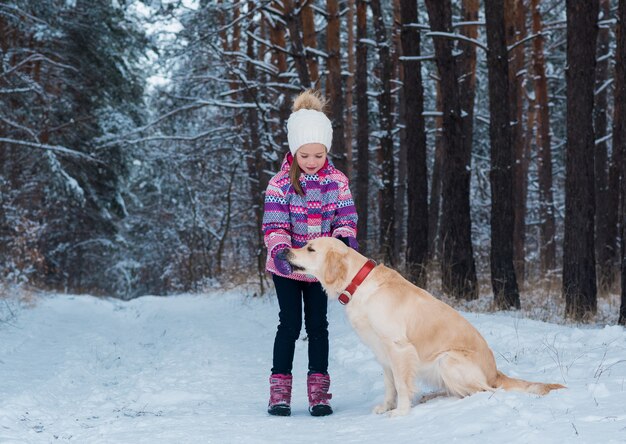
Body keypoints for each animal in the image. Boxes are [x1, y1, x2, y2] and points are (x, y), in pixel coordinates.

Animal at [280, 238, 564, 414]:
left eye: (310, 248)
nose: (285, 251)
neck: (359, 284)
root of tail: (495, 372)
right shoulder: (382, 352)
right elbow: (390, 385)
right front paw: (386, 406)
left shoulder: (399, 348)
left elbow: (402, 384)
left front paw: (401, 412)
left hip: (448, 360)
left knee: (484, 391)